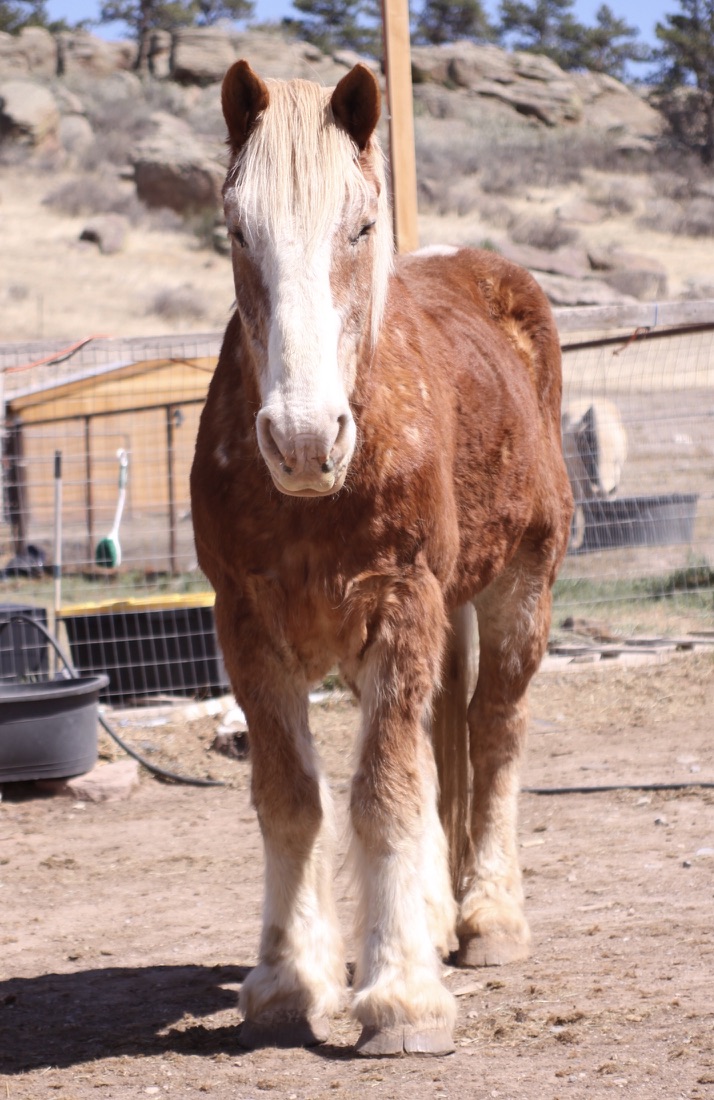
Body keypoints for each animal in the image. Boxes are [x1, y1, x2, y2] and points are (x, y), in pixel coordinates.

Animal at [190, 59, 573, 1057]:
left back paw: (487, 920)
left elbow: (384, 793)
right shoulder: (248, 626)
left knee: (495, 732)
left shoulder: (401, 606)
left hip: (522, 588)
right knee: (446, 737)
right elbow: (294, 795)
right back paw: (435, 916)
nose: (301, 439)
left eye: (360, 227)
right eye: (236, 230)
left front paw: (400, 997)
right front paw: (290, 979)